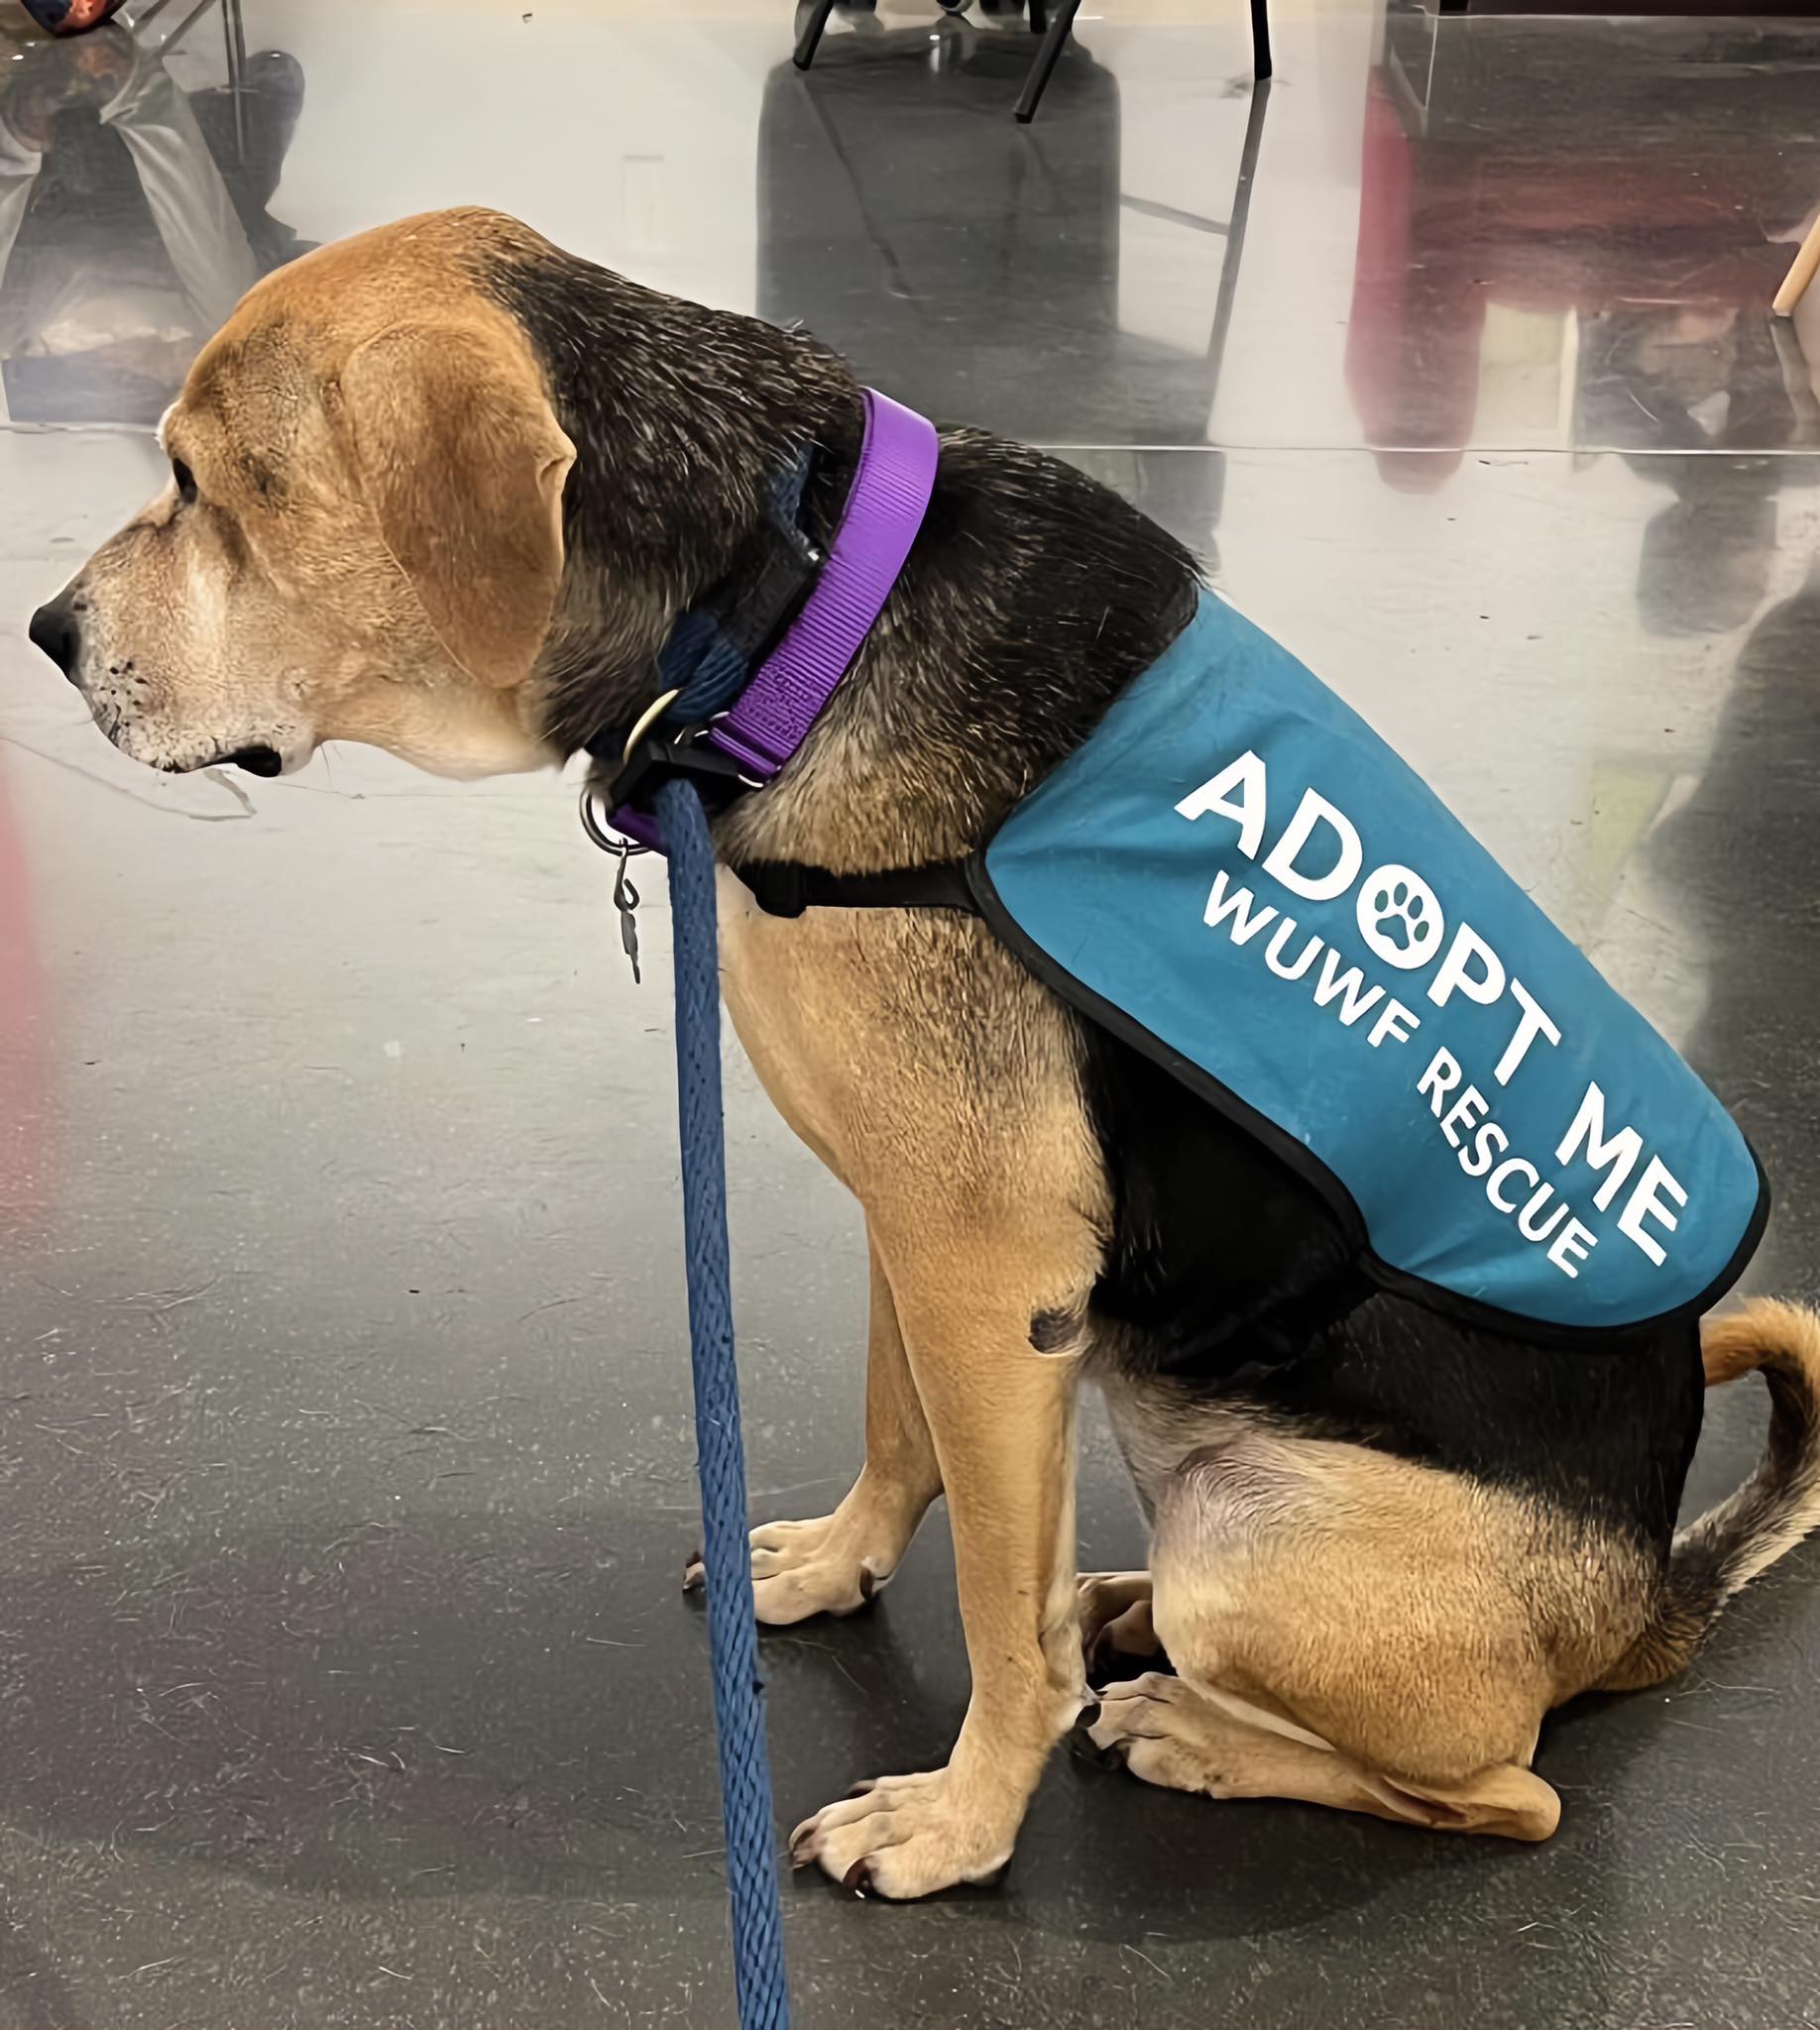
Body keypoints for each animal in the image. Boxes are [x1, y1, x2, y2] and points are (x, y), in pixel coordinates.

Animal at [28, 209, 1820, 1899]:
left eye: (198, 484)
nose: (45, 630)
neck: (786, 605)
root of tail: (1648, 1601)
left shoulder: (987, 1269)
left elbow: (997, 1618)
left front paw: (961, 1825)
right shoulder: (919, 1241)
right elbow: (907, 1447)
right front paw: (834, 1570)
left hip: (1263, 1539)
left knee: (1507, 1793)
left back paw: (1198, 1731)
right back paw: (1123, 1609)